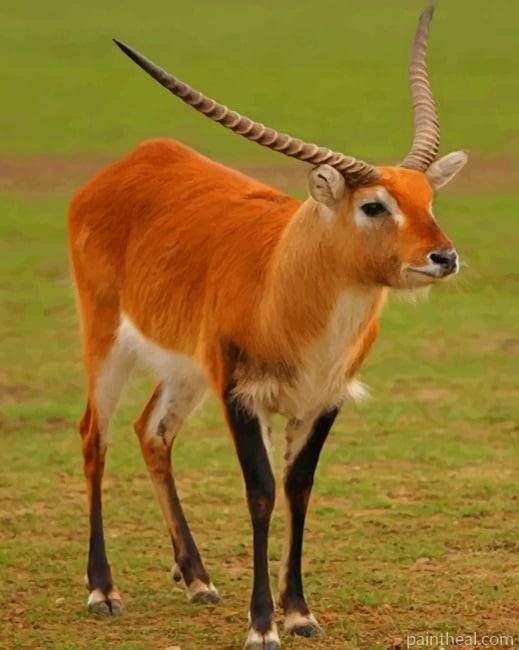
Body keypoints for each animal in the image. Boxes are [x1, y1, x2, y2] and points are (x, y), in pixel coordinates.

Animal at [68, 4, 467, 648]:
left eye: (428, 197)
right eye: (374, 204)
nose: (444, 257)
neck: (283, 286)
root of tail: (136, 160)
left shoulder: (322, 400)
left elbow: (298, 489)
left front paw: (299, 613)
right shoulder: (241, 395)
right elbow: (260, 493)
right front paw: (262, 625)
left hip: (185, 371)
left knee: (151, 431)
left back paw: (197, 579)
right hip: (105, 342)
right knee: (92, 435)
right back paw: (103, 591)